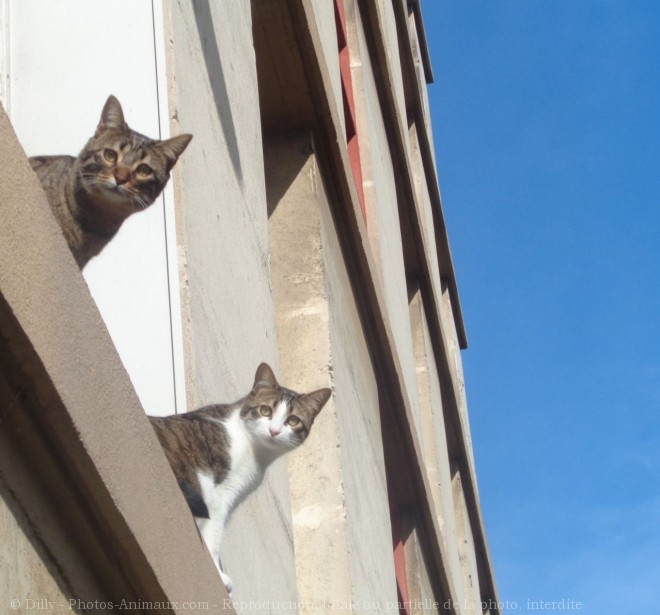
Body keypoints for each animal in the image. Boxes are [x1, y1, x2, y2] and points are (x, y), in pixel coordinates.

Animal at [150, 364, 330, 596]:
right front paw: (219, 576)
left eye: (293, 420)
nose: (274, 431)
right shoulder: (221, 495)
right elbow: (214, 535)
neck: (254, 449)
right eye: (265, 411)